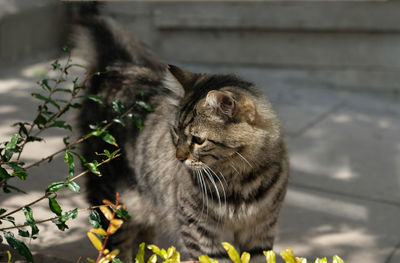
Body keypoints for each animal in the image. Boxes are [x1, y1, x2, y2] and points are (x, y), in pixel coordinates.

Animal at [73, 13, 290, 263]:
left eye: (198, 140)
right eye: (175, 133)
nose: (179, 157)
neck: (239, 183)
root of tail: (119, 66)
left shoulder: (260, 233)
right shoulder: (201, 234)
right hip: (111, 204)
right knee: (114, 248)